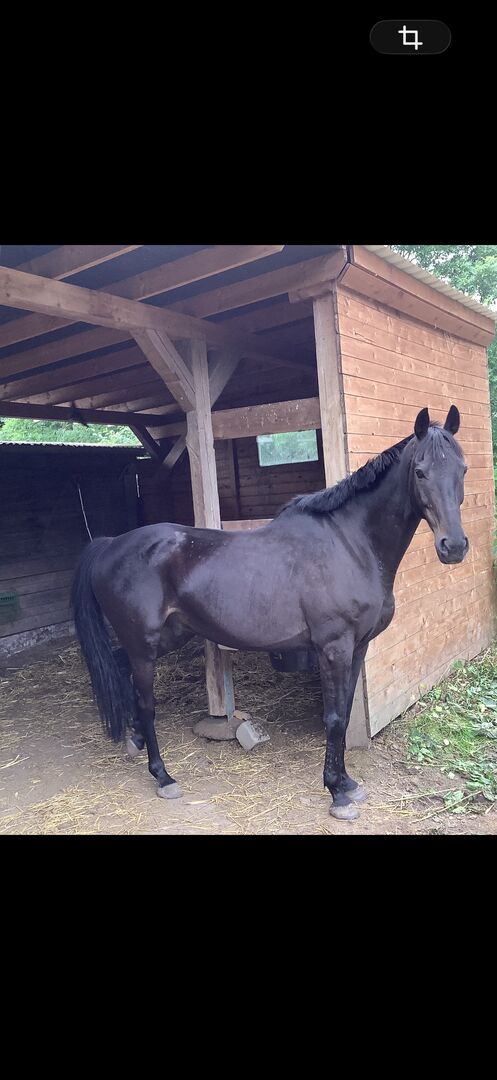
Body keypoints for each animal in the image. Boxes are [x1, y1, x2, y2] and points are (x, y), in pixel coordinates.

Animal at [71, 405, 469, 821]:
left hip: (166, 636)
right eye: (420, 471)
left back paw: (132, 740)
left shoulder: (357, 647)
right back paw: (163, 776)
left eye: (462, 469)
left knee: (121, 668)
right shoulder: (333, 649)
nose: (454, 546)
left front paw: (347, 784)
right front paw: (336, 793)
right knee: (146, 702)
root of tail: (111, 544)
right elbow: (334, 718)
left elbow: (344, 714)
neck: (350, 544)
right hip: (145, 645)